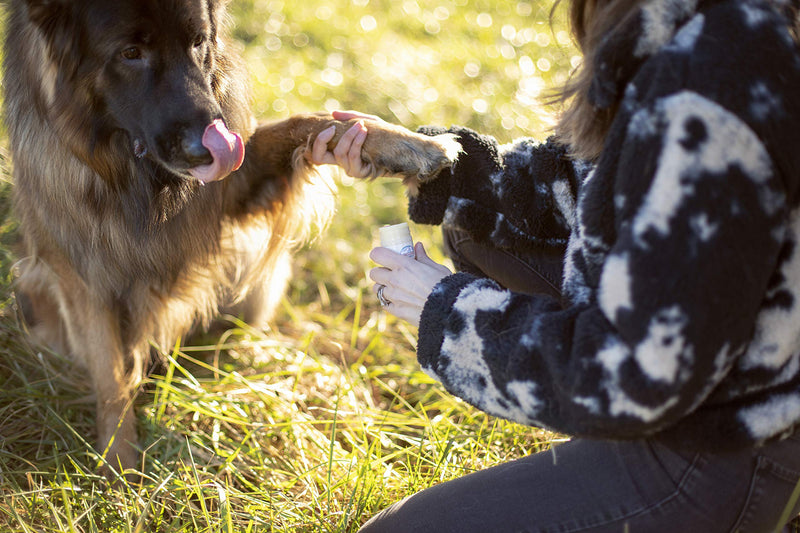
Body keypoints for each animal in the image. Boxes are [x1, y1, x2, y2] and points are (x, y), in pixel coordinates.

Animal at [1, 0, 456, 474]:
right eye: (130, 53)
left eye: (198, 43)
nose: (212, 148)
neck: (128, 170)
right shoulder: (81, 275)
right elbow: (110, 377)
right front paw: (119, 466)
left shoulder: (230, 186)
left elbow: (306, 124)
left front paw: (401, 144)